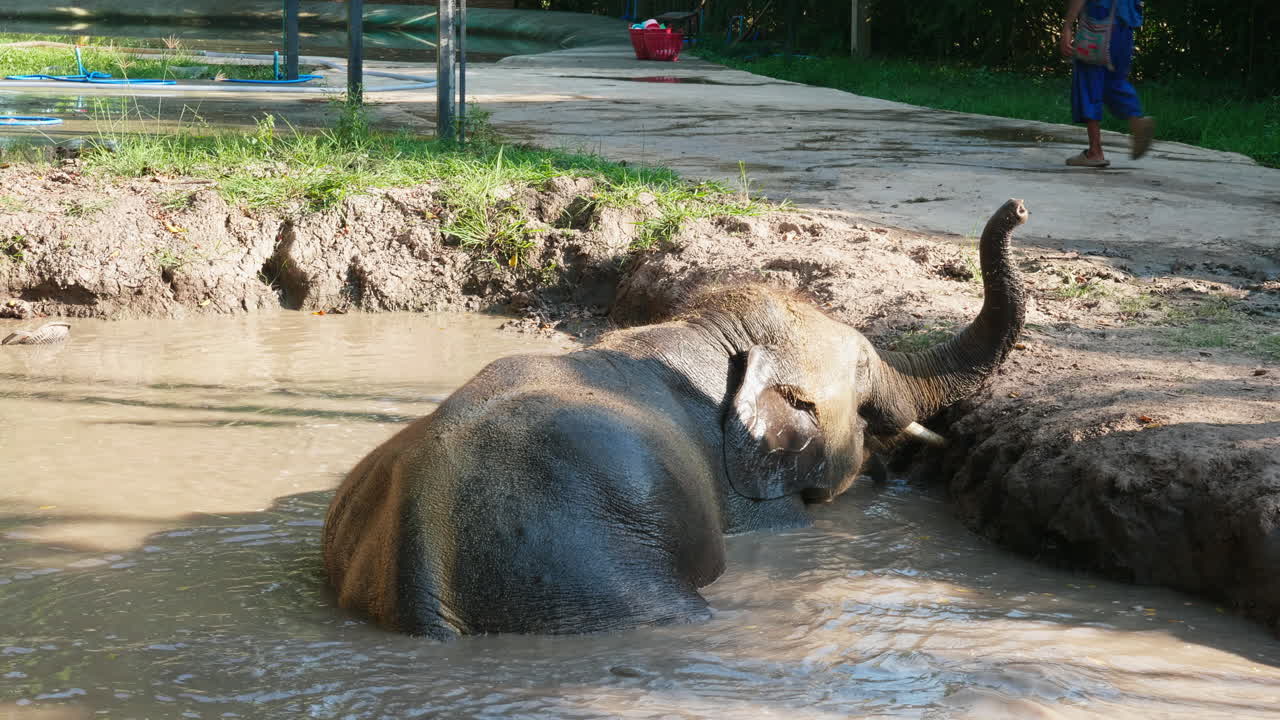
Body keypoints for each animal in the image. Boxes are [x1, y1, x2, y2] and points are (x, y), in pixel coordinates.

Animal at [323, 198, 1029, 639]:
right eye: (861, 381)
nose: (1019, 210)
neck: (706, 335)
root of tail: (420, 560)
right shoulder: (751, 504)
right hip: (589, 583)